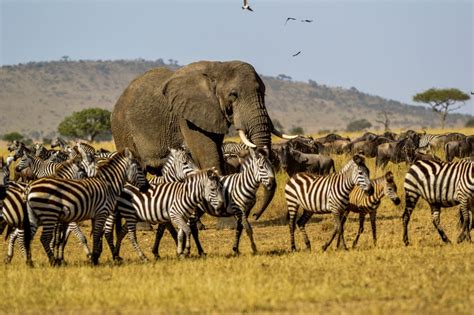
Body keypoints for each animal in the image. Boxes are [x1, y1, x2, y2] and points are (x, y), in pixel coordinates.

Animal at [110, 60, 292, 216]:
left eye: (263, 92)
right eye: (233, 95)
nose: (255, 214)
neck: (217, 68)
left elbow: (217, 153)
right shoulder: (187, 117)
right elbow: (208, 154)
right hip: (122, 128)